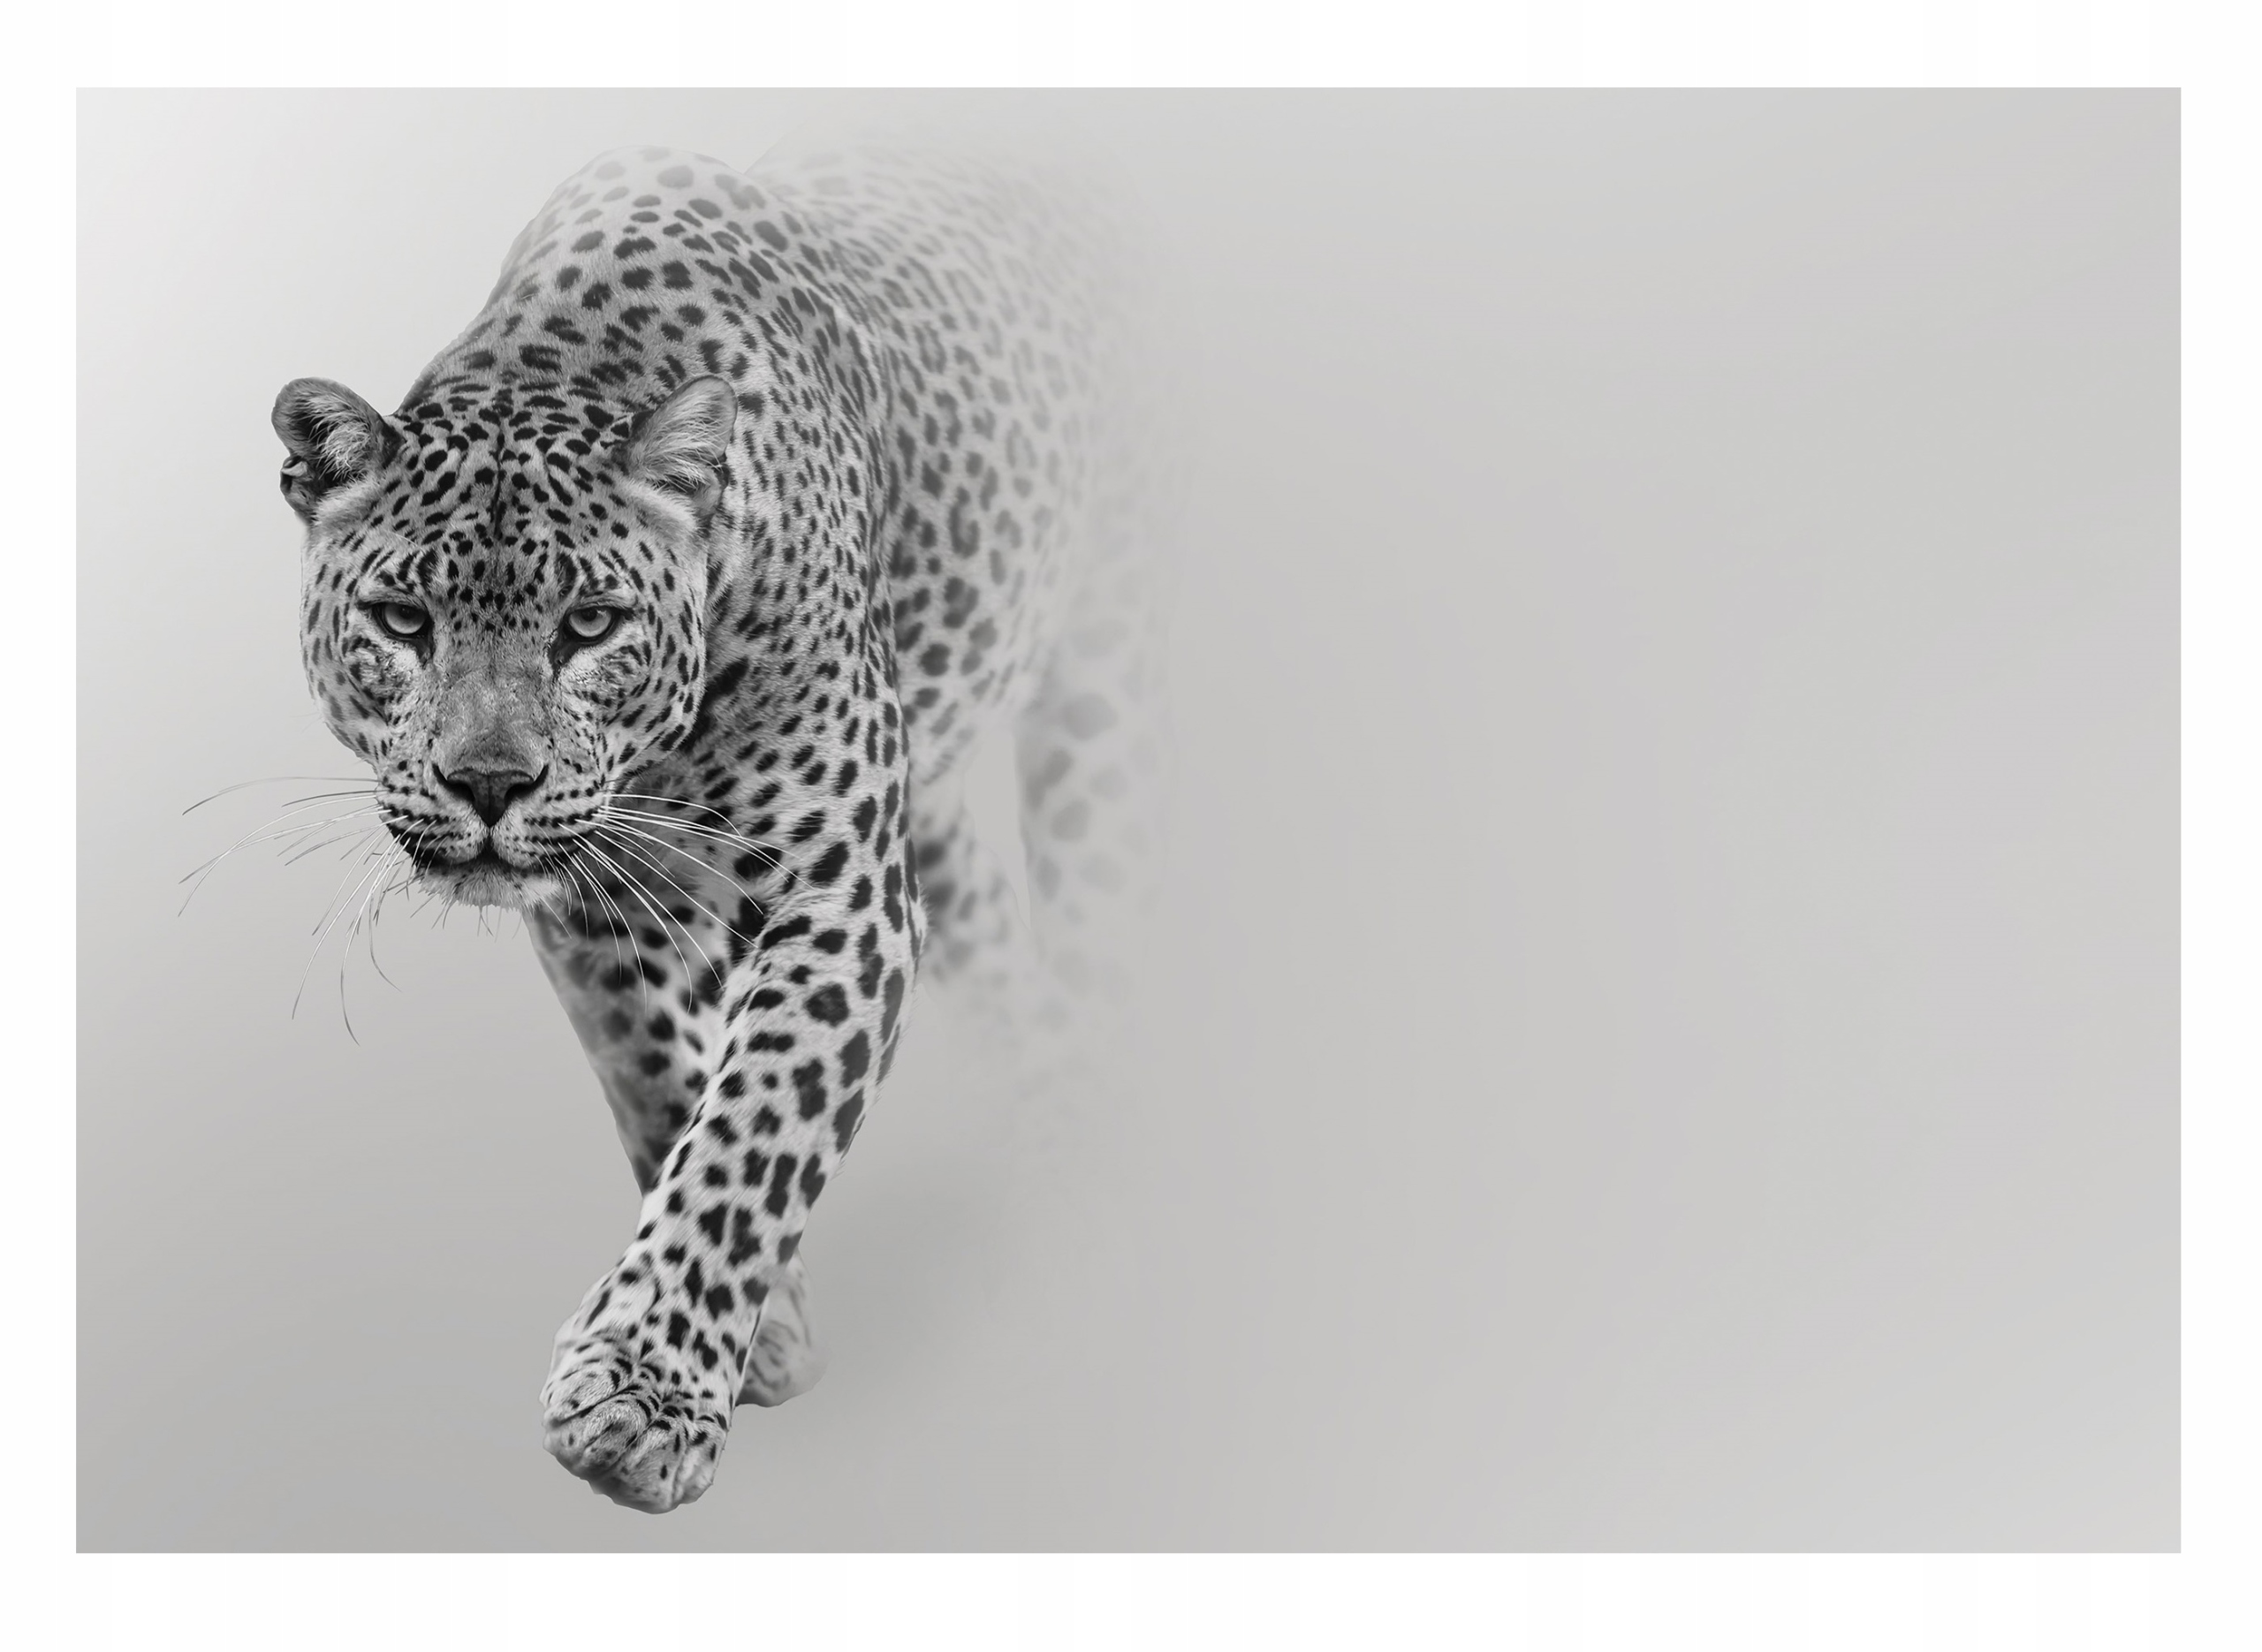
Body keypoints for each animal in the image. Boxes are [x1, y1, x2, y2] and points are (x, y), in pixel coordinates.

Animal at [271, 135, 1167, 1513]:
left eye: (589, 625)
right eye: (403, 622)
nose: (490, 784)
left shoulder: (843, 900)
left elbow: (758, 1122)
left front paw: (646, 1395)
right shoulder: (598, 906)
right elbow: (661, 1086)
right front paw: (762, 1330)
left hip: (1099, 714)